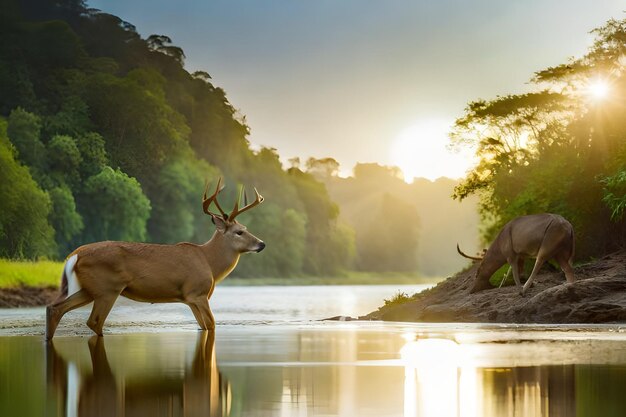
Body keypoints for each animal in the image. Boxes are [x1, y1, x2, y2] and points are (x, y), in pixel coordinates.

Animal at [45, 178, 264, 338]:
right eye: (239, 232)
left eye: (245, 228)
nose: (262, 244)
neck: (209, 262)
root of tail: (74, 255)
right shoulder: (197, 292)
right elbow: (211, 324)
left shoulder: (190, 299)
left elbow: (202, 326)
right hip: (108, 288)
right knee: (94, 321)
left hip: (90, 288)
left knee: (54, 308)